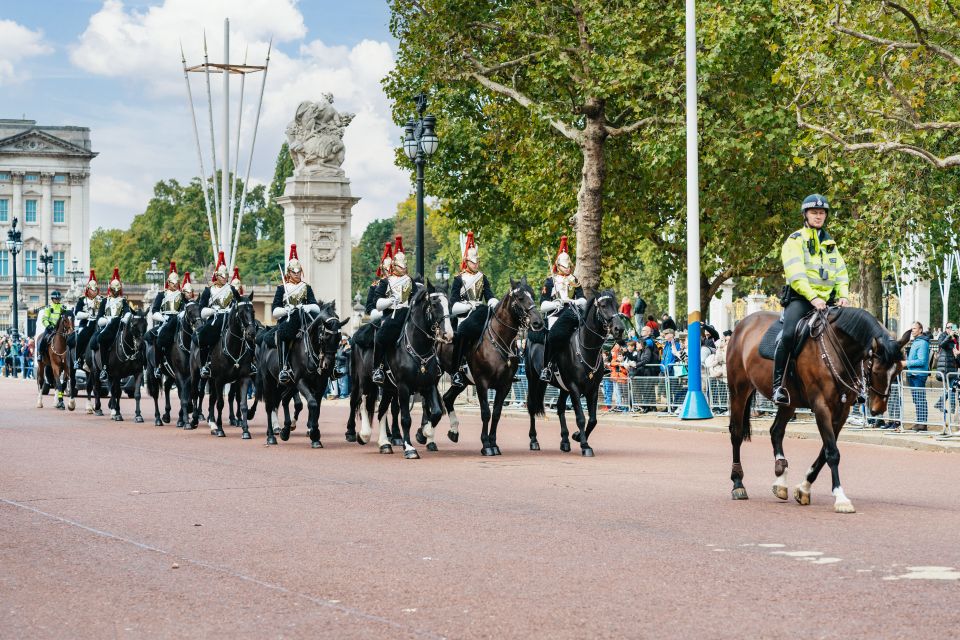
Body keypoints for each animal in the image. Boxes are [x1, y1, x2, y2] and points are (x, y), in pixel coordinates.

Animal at [189, 298, 256, 438]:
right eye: (241, 313)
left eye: (253, 311)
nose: (251, 333)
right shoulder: (219, 380)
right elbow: (220, 404)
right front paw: (220, 429)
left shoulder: (243, 378)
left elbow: (242, 403)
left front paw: (245, 430)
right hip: (196, 374)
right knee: (195, 393)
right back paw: (194, 420)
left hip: (211, 380)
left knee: (211, 398)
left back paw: (212, 423)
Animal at [376, 284, 454, 460]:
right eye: (434, 304)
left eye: (449, 304)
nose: (448, 335)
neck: (419, 349)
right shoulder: (404, 387)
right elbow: (406, 418)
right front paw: (409, 448)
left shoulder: (429, 385)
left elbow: (436, 412)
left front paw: (424, 433)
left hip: (389, 389)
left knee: (382, 410)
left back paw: (385, 444)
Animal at [426, 278, 544, 456]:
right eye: (521, 298)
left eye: (532, 295)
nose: (538, 322)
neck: (498, 339)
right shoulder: (482, 383)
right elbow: (485, 413)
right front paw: (486, 445)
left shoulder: (504, 385)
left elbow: (496, 413)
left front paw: (493, 443)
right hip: (435, 375)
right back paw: (427, 436)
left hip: (463, 381)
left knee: (447, 398)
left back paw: (452, 432)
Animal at [524, 290, 624, 456]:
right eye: (603, 305)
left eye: (616, 305)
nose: (619, 329)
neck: (586, 349)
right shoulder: (575, 388)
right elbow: (581, 418)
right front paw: (585, 445)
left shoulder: (592, 389)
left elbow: (593, 419)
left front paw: (577, 436)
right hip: (533, 379)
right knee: (532, 406)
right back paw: (533, 440)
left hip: (563, 387)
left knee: (560, 408)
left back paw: (565, 441)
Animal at [728, 308, 908, 512]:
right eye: (876, 370)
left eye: (897, 371)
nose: (878, 409)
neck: (838, 350)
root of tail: (743, 324)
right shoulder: (821, 406)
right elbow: (832, 452)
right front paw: (841, 498)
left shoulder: (841, 411)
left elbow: (825, 451)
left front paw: (804, 488)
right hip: (739, 390)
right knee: (736, 433)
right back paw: (738, 484)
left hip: (789, 402)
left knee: (776, 432)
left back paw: (781, 478)